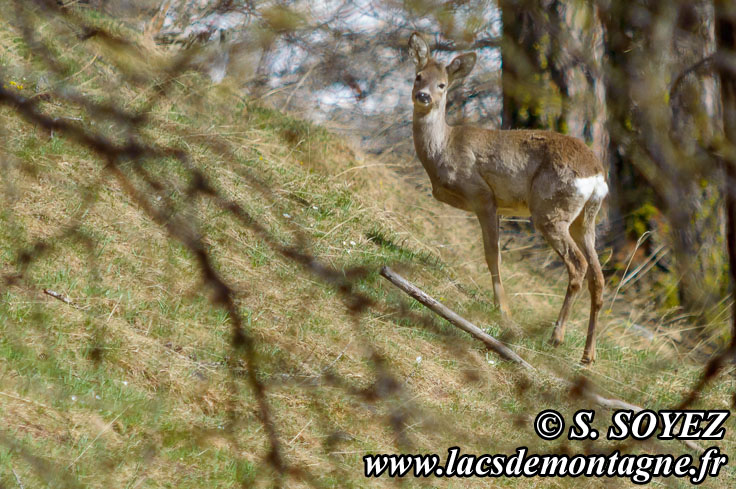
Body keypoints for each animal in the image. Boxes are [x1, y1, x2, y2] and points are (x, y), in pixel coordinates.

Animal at [406, 33, 608, 362]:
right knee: (598, 276)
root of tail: (597, 174)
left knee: (578, 265)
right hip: (584, 218)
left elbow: (493, 254)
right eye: (418, 76)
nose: (423, 96)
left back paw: (556, 337)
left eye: (443, 85)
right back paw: (588, 355)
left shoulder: (483, 195)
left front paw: (503, 310)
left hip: (550, 210)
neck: (444, 147)